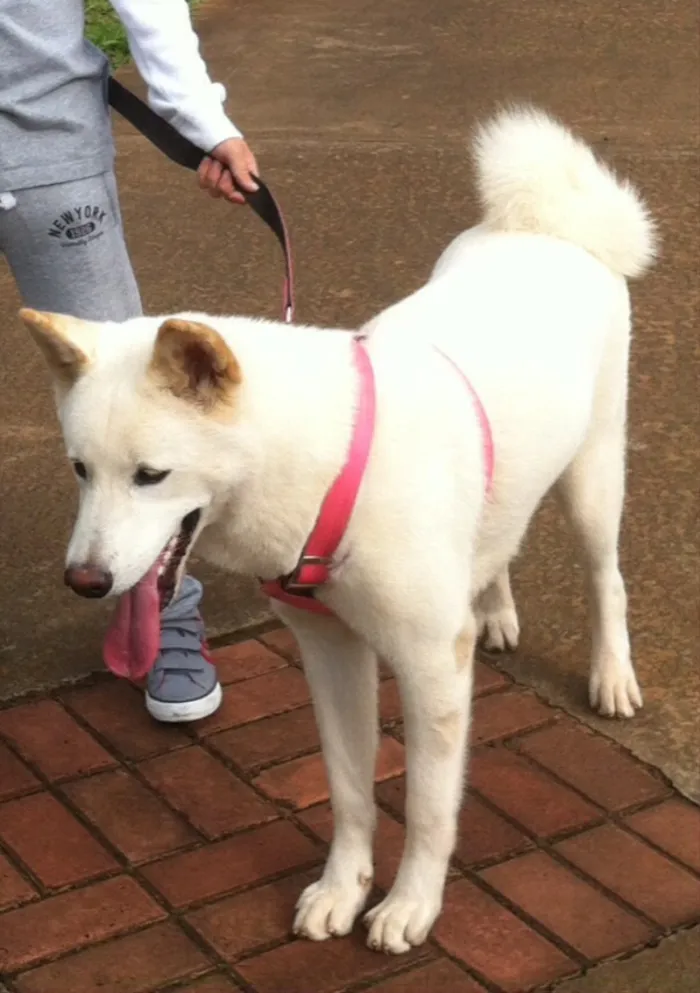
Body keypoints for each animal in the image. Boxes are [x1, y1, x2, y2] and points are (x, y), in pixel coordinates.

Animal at [21, 106, 656, 952]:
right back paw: (494, 611)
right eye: (80, 470)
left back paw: (612, 674)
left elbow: (426, 805)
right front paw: (342, 888)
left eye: (151, 475)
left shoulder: (429, 665)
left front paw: (410, 905)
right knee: (496, 545)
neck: (319, 466)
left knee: (605, 578)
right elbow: (350, 791)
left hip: (592, 479)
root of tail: (550, 226)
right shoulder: (329, 651)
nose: (84, 581)